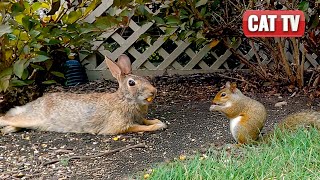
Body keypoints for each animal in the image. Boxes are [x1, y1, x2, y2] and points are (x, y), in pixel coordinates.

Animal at [0, 54, 168, 135]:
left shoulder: (138, 118)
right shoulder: (120, 126)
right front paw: (158, 126)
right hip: (32, 118)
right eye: (132, 83)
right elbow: (140, 127)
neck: (125, 99)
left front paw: (158, 121)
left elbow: (146, 121)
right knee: (5, 117)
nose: (154, 91)